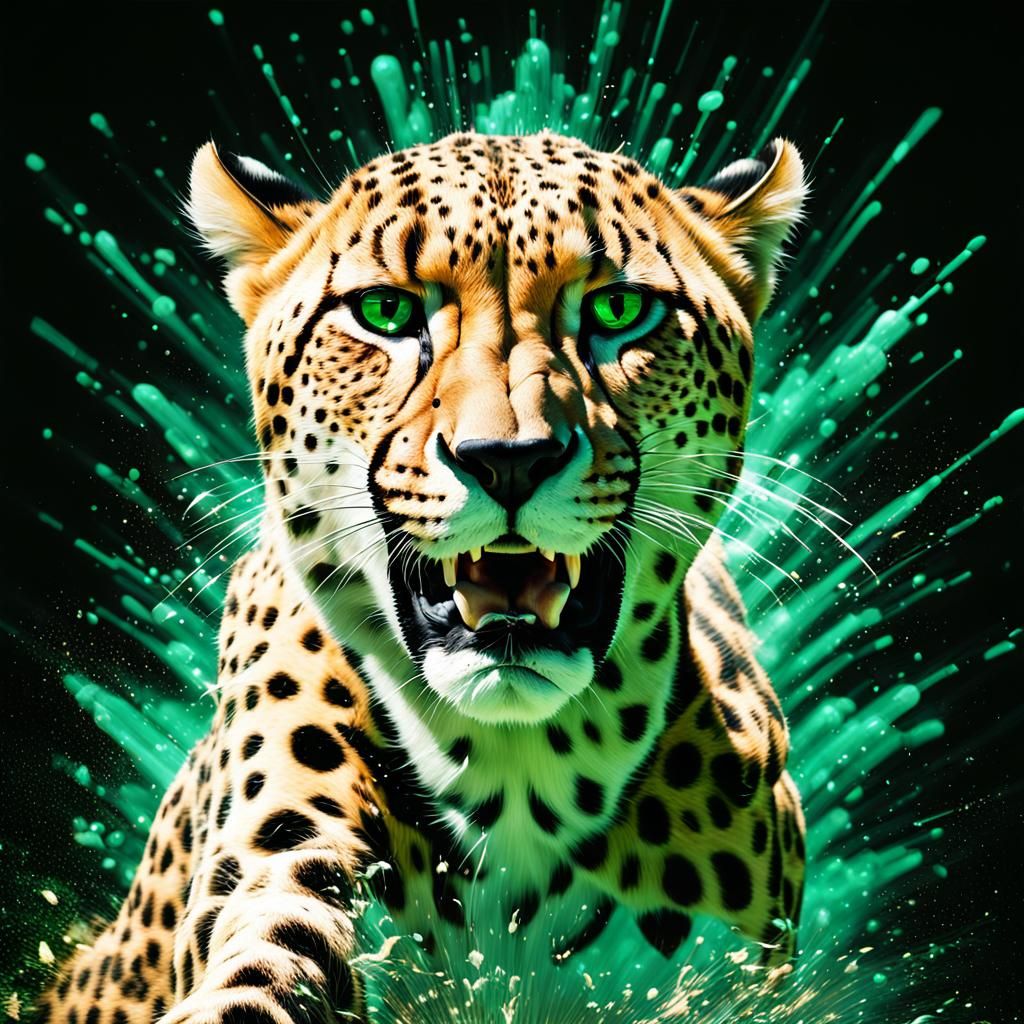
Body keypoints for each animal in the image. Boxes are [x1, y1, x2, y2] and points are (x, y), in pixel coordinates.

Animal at [36, 129, 808, 1023]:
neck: (522, 770)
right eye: (385, 314)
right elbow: (272, 953)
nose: (509, 459)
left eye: (619, 311)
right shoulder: (282, 852)